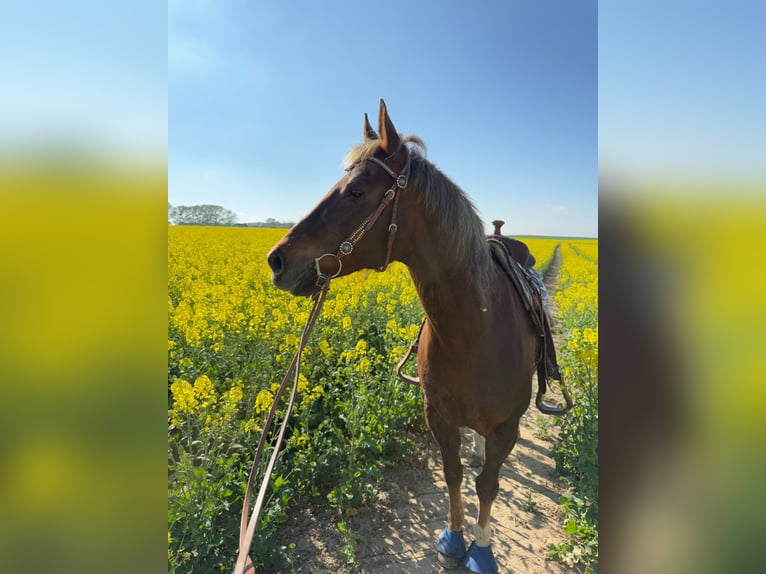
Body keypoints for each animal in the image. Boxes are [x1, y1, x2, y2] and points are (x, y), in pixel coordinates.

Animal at [267, 100, 548, 574]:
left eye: (356, 191)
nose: (277, 260)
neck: (474, 327)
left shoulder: (507, 426)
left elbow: (488, 485)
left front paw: (481, 550)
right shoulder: (437, 414)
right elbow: (454, 473)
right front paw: (454, 538)